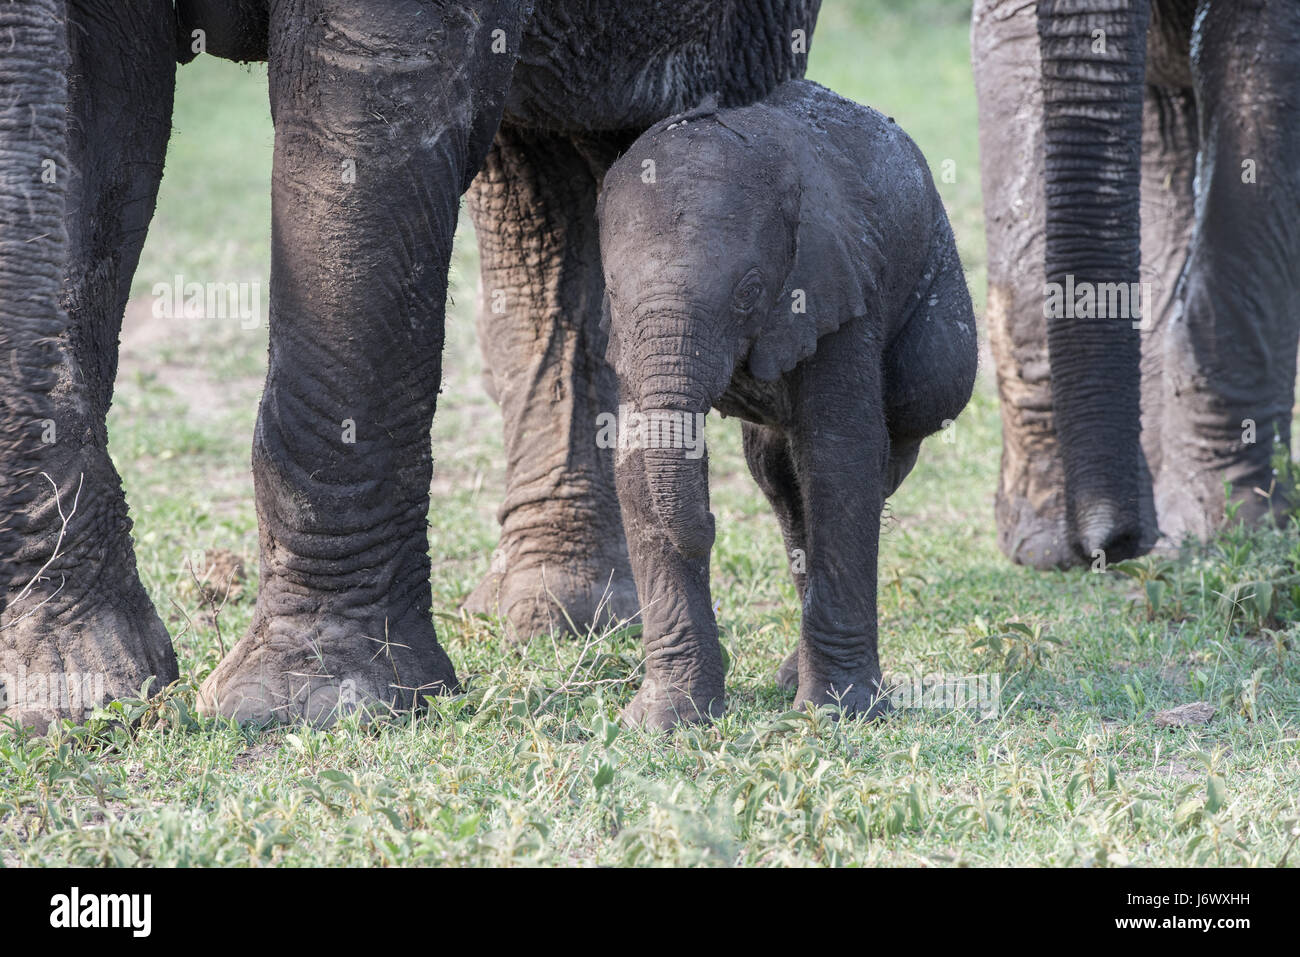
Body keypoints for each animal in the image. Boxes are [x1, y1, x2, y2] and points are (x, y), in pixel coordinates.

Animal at [0, 0, 821, 728]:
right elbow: (103, 107)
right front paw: (80, 690)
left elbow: (373, 89)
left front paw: (311, 707)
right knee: (544, 184)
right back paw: (558, 614)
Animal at [598, 78, 977, 728]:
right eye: (614, 293)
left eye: (749, 292)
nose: (713, 525)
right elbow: (634, 467)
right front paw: (667, 721)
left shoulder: (838, 284)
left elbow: (838, 457)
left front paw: (838, 714)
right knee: (779, 480)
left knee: (913, 409)